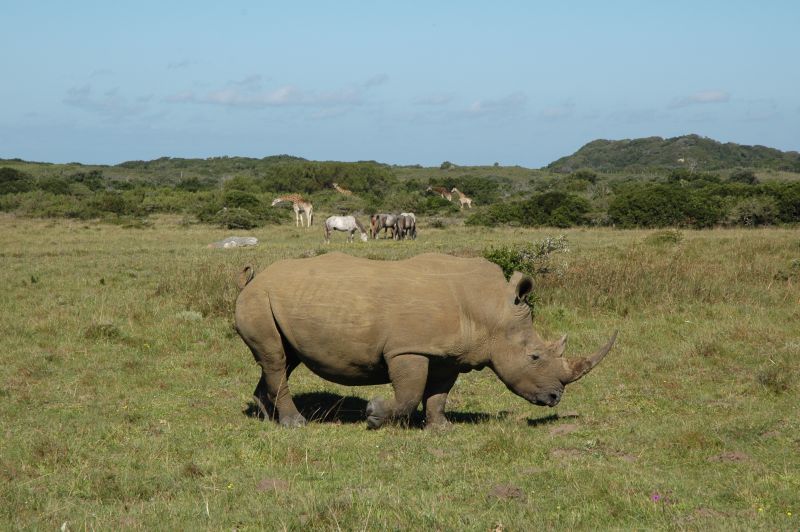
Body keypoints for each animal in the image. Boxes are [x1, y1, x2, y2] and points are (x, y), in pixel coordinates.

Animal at [234, 251, 616, 430]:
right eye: (535, 356)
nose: (555, 398)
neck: (490, 310)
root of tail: (252, 280)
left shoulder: (450, 355)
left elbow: (438, 394)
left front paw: (441, 428)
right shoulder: (409, 348)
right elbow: (410, 392)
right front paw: (375, 415)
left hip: (276, 302)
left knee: (281, 360)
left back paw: (267, 419)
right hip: (259, 300)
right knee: (277, 361)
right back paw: (295, 424)